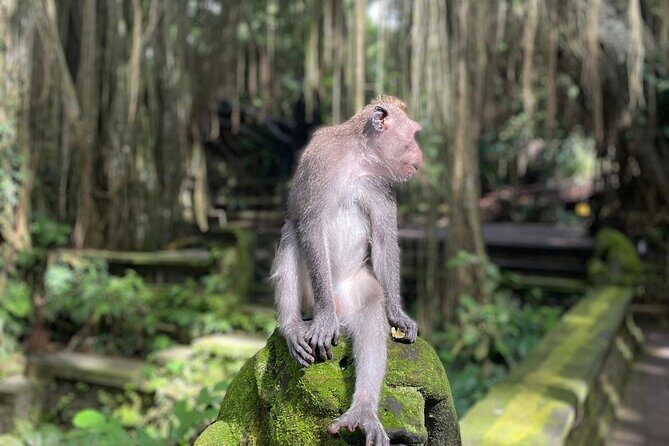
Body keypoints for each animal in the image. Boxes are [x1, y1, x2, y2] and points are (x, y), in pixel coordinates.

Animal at [270, 95, 422, 446]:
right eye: (413, 135)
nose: (420, 155)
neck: (360, 158)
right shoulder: (322, 160)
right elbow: (311, 225)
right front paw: (324, 319)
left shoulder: (382, 183)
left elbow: (384, 241)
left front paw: (398, 314)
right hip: (313, 292)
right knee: (293, 235)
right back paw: (294, 326)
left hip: (354, 292)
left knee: (371, 308)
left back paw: (363, 411)